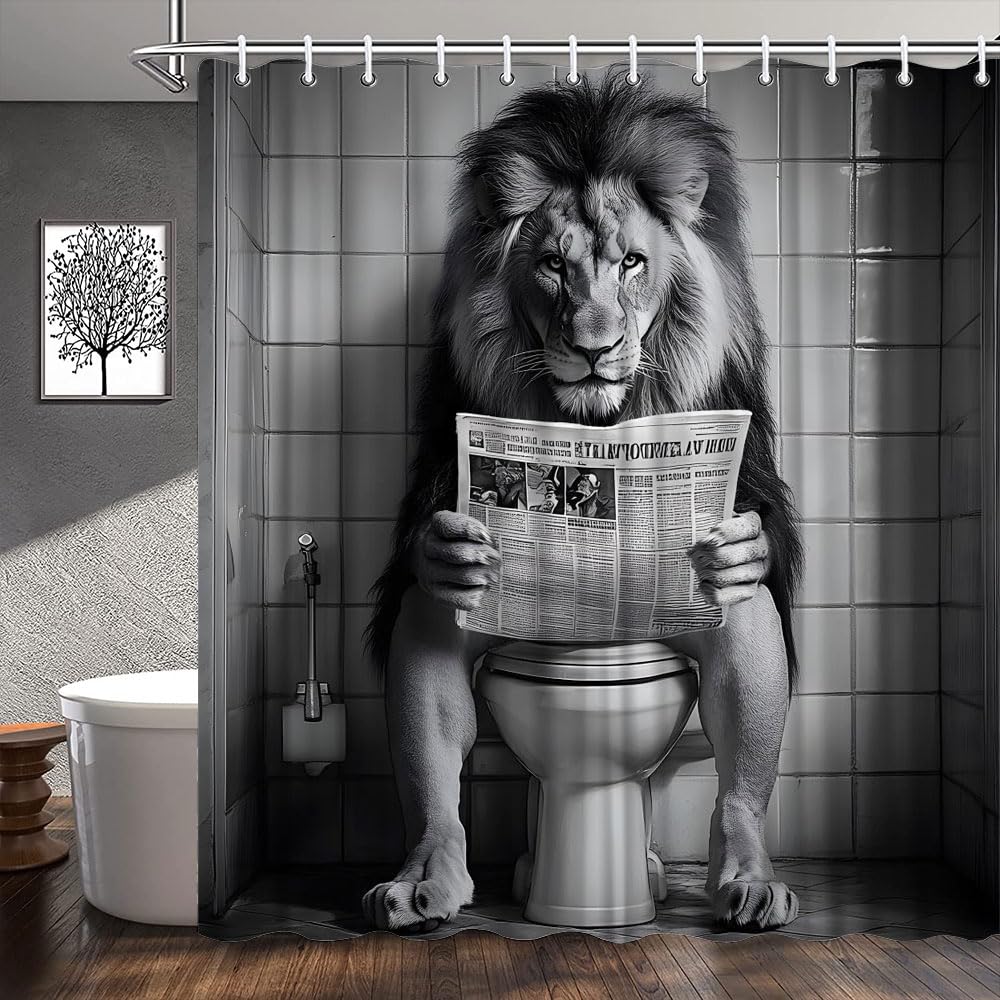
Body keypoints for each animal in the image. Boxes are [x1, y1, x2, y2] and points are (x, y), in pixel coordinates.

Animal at [363, 74, 802, 932]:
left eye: (631, 262)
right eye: (551, 267)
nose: (595, 347)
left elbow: (756, 540)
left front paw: (748, 545)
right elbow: (424, 547)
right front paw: (442, 547)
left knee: (742, 626)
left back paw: (748, 880)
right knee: (432, 622)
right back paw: (426, 879)